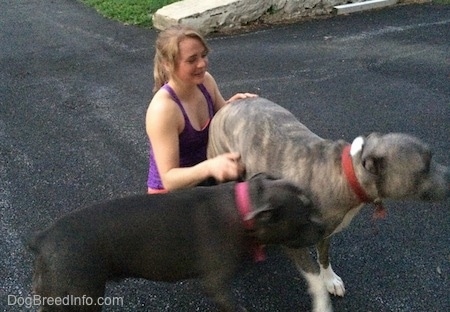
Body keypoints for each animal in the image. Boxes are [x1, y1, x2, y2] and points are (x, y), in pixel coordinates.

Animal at [29, 174, 324, 310]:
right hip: (80, 296)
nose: (323, 228)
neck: (246, 207)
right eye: (304, 216)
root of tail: (42, 239)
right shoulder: (217, 286)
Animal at [208, 97, 450, 312]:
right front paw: (322, 302)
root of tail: (229, 104)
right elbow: (313, 276)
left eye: (432, 157)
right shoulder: (294, 242)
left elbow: (324, 256)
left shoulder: (325, 231)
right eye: (425, 166)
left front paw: (330, 279)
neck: (346, 173)